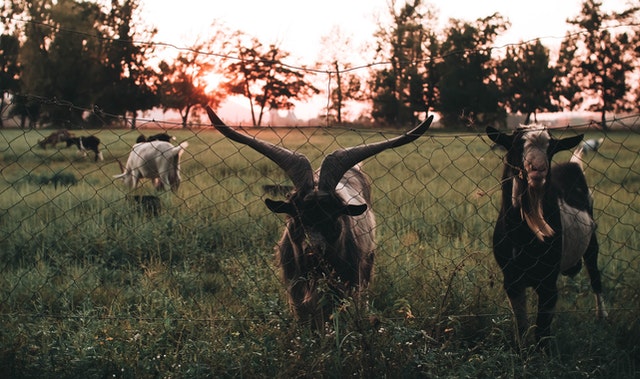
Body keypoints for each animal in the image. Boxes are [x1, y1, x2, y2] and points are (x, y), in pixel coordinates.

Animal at [208, 106, 432, 330]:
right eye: (296, 217)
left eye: (334, 217)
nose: (313, 249)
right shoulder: (296, 291)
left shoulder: (349, 284)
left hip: (368, 262)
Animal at [488, 126, 608, 348]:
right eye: (516, 145)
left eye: (551, 148)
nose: (538, 169)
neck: (523, 236)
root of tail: (573, 165)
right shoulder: (511, 280)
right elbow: (522, 326)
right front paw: (522, 351)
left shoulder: (548, 284)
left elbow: (542, 331)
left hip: (592, 241)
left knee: (595, 275)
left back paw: (602, 317)